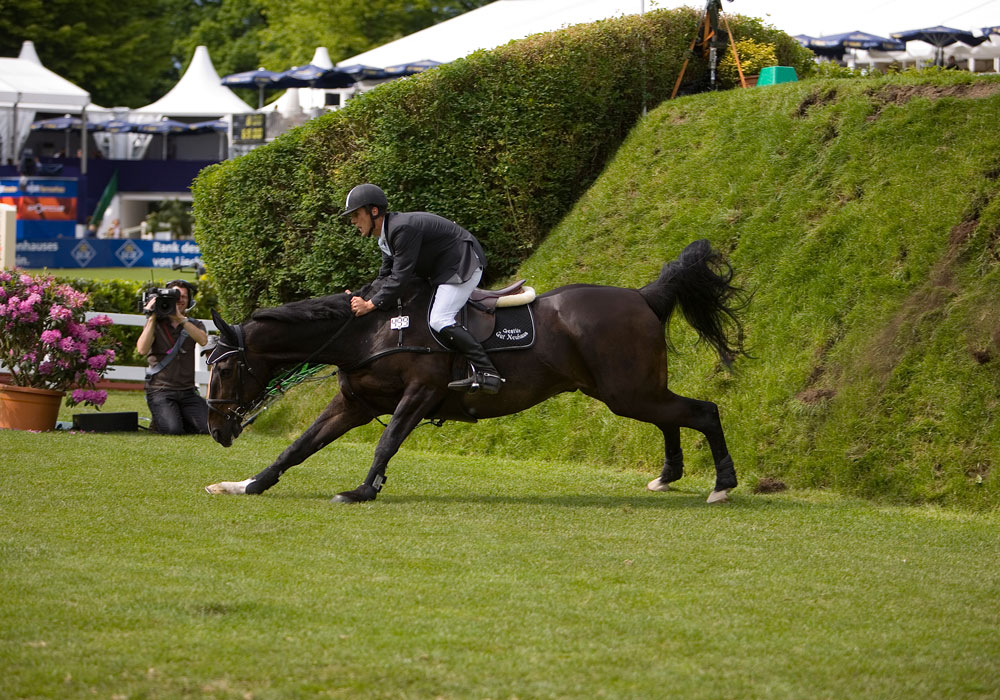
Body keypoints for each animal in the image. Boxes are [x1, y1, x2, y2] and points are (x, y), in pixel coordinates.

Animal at [207, 241, 748, 504]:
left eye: (228, 366)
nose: (214, 429)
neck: (369, 331)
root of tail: (642, 296)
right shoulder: (354, 404)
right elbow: (298, 447)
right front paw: (246, 486)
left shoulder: (420, 393)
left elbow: (386, 443)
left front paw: (362, 492)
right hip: (628, 391)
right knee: (671, 417)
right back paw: (668, 476)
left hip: (627, 391)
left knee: (703, 411)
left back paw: (722, 485)